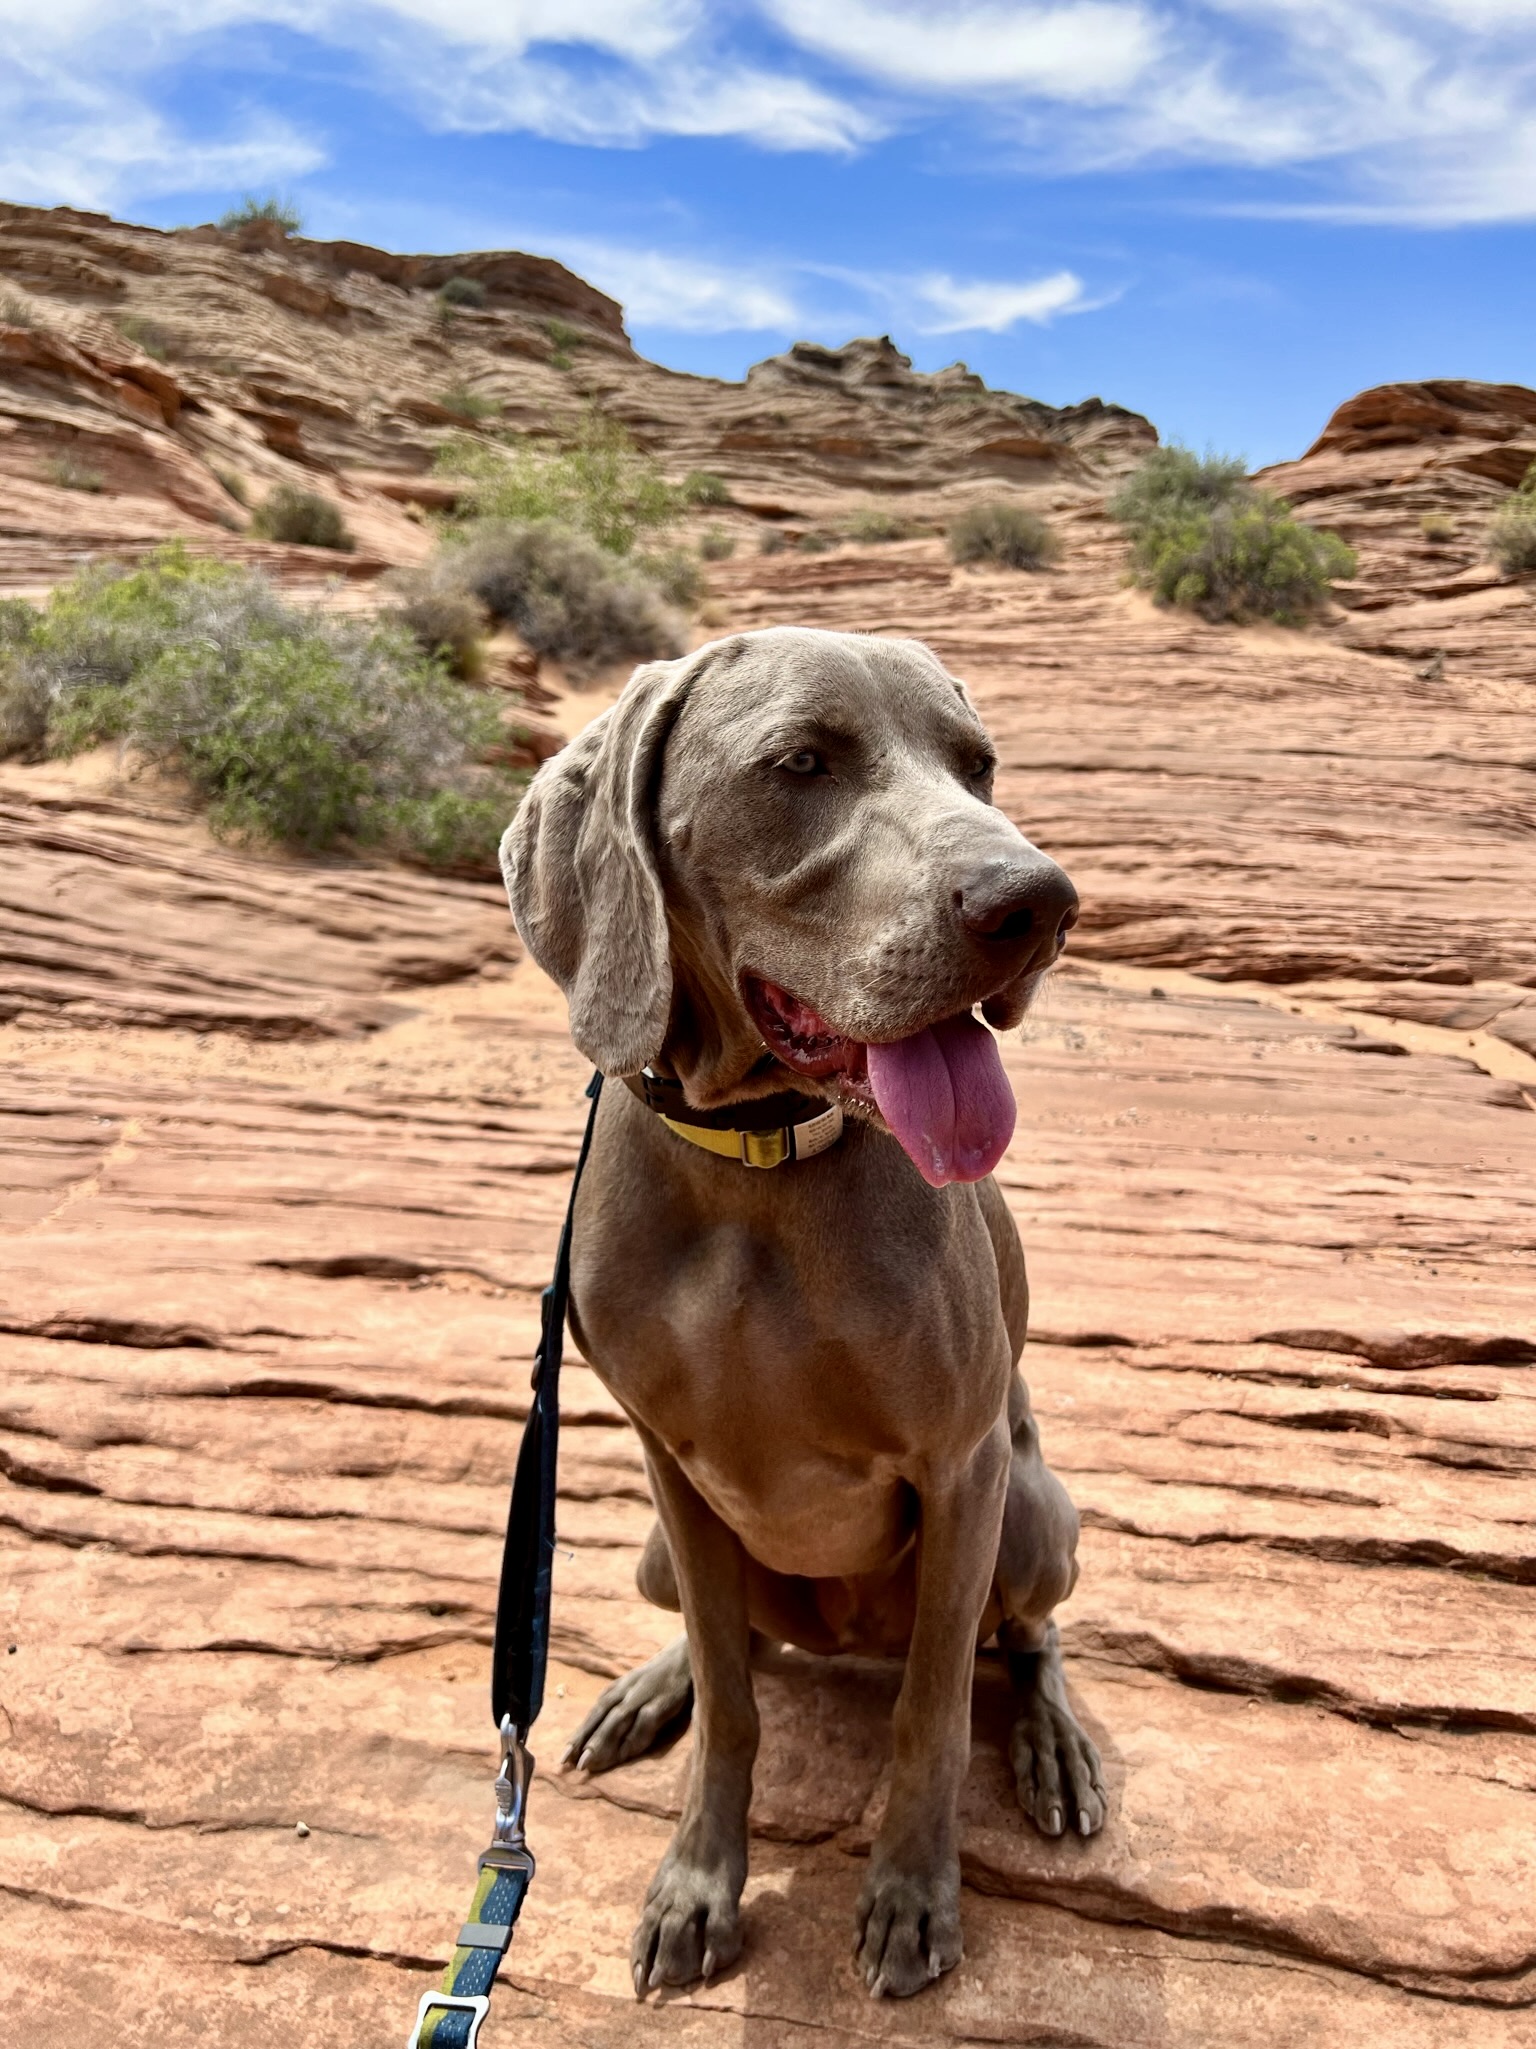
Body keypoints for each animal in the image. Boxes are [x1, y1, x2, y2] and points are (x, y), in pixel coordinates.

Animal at [505, 622, 1105, 1999]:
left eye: (980, 765)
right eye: (800, 763)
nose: (1037, 904)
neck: (758, 1164)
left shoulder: (961, 1467)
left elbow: (934, 1709)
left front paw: (911, 1899)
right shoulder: (667, 1458)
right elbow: (734, 1699)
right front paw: (696, 1888)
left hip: (1033, 1512)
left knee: (1025, 1641)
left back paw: (1051, 1746)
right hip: (662, 1544)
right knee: (738, 1642)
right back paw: (653, 1686)